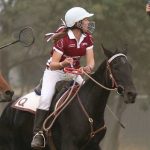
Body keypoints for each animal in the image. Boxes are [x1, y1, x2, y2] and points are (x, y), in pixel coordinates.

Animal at [0, 46, 137, 150]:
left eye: (130, 67)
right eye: (115, 67)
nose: (132, 94)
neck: (89, 108)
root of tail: (9, 107)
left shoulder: (94, 145)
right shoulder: (69, 144)